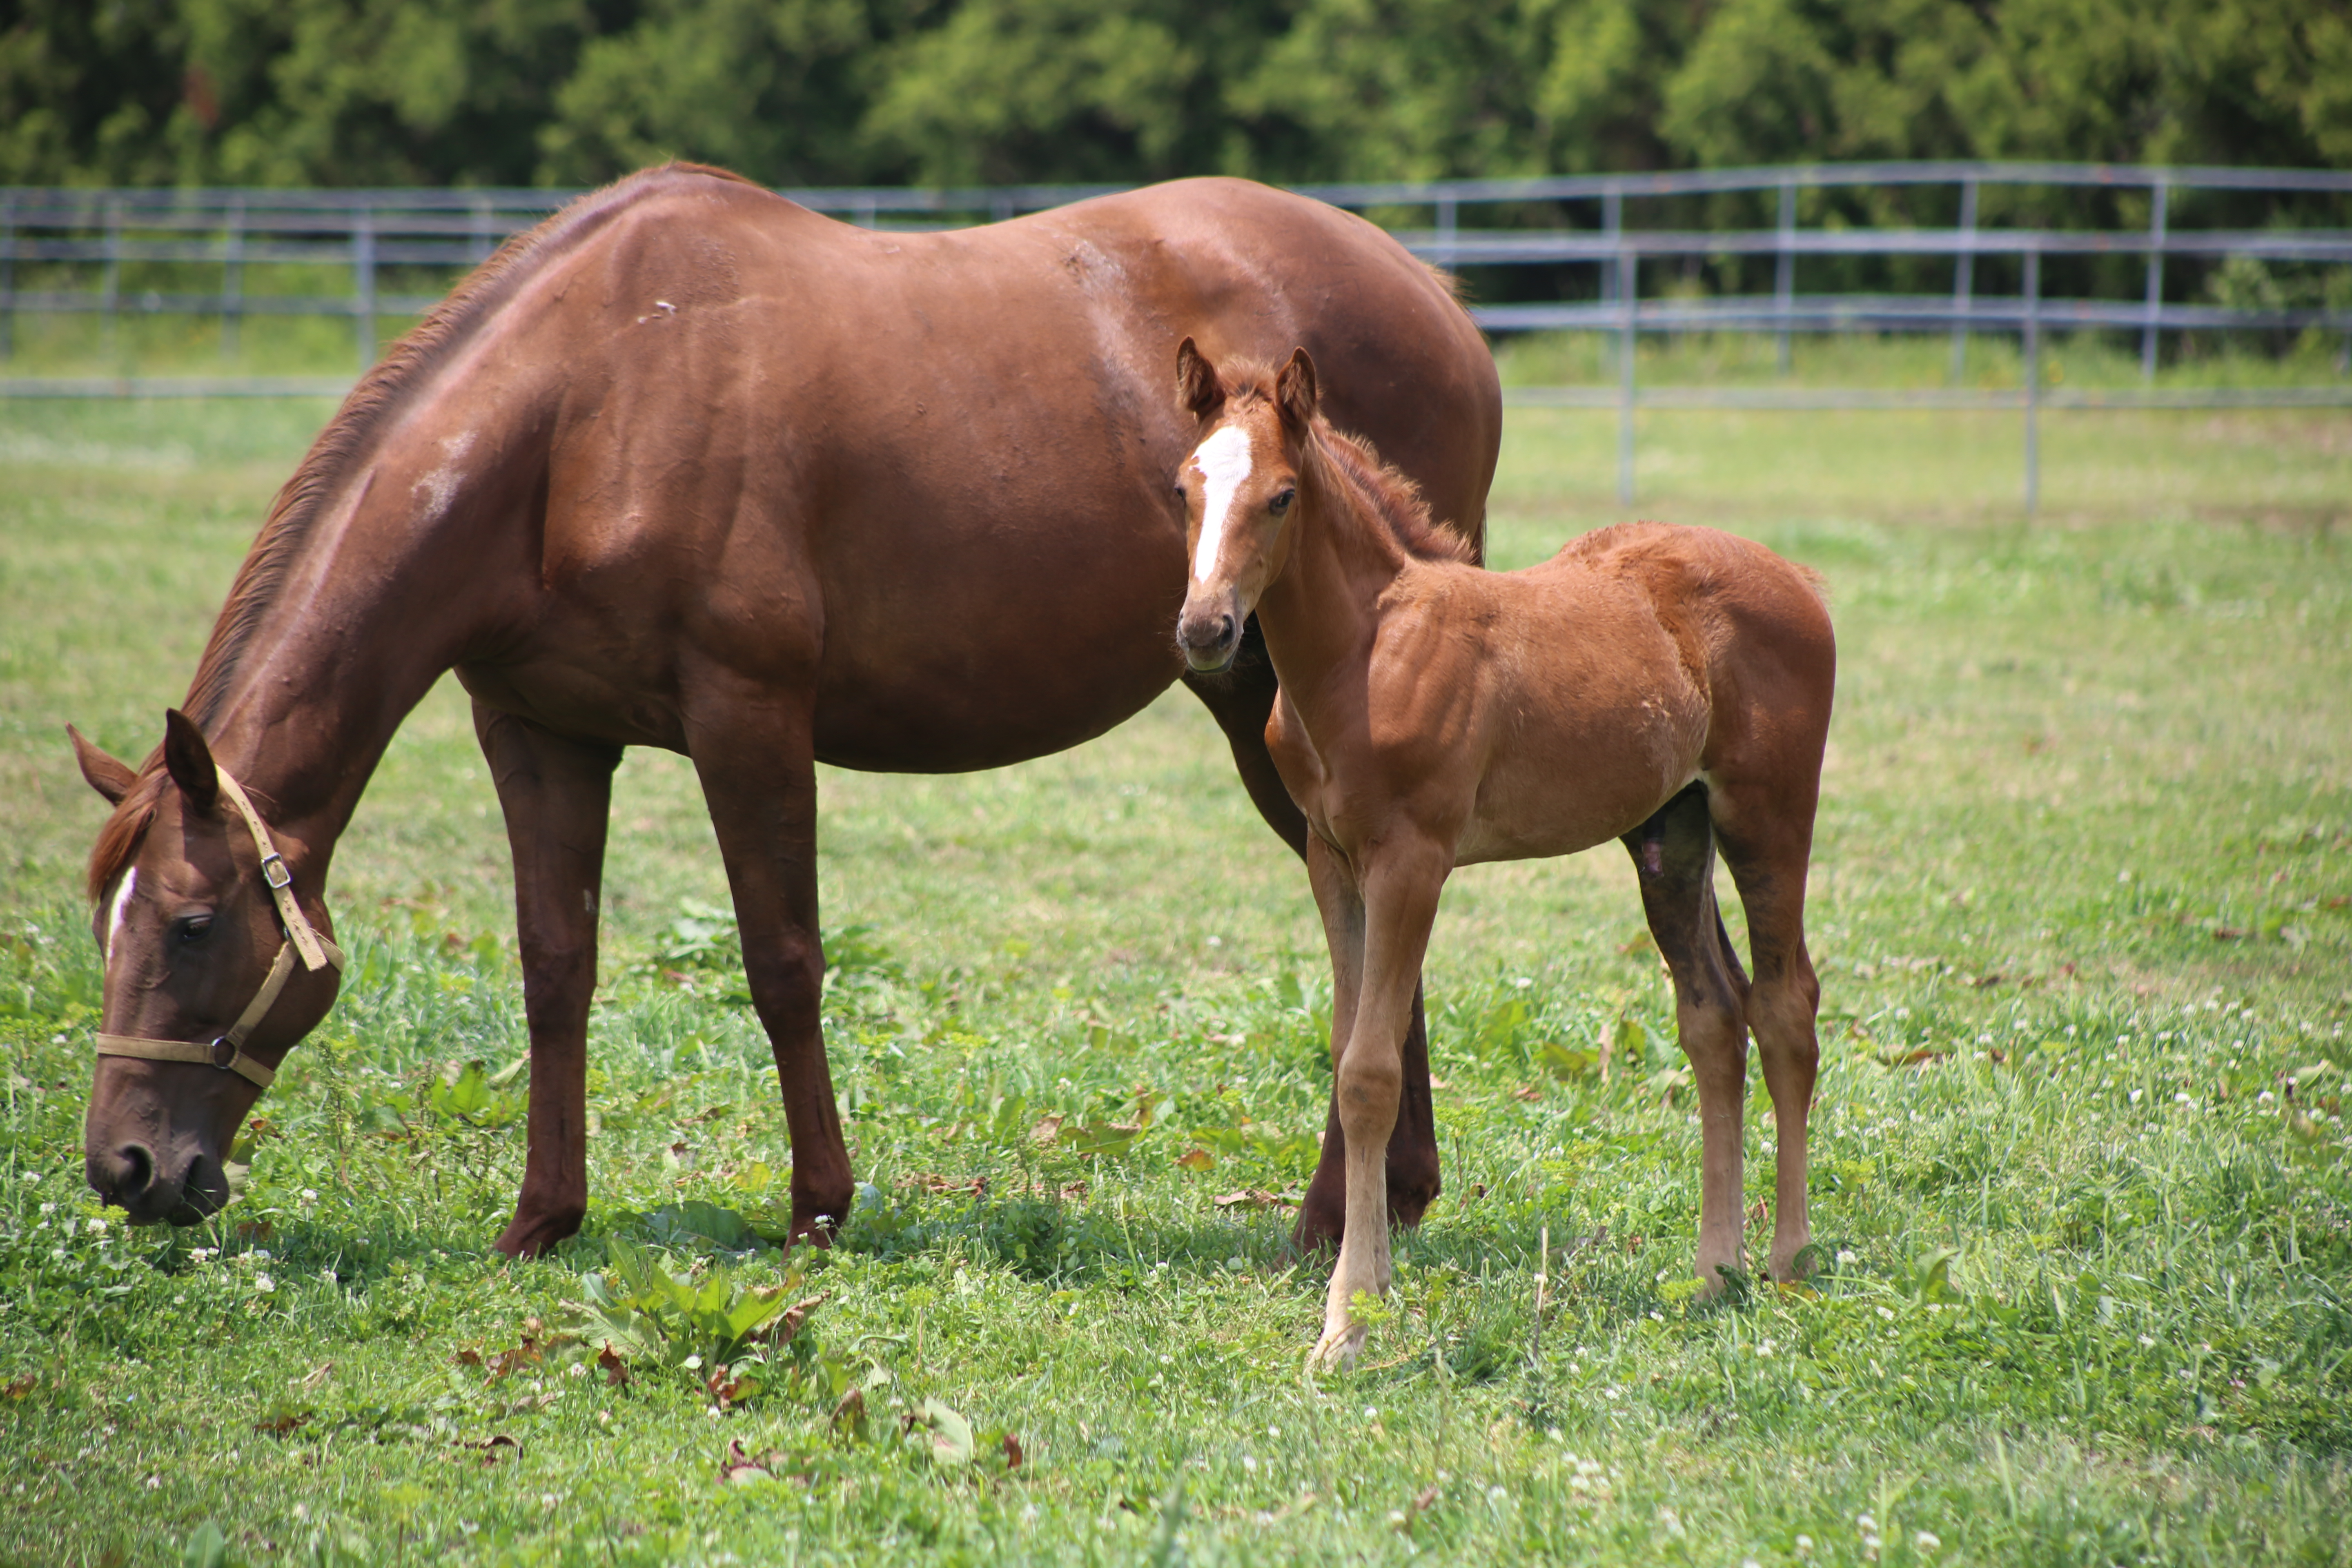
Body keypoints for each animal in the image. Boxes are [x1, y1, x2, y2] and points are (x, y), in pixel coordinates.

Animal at [78, 165, 1505, 1260]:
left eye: (195, 923)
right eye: (106, 920)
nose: (127, 1169)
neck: (583, 412)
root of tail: (1437, 300)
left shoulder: (747, 716)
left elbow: (781, 962)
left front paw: (818, 1208)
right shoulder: (539, 735)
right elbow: (556, 966)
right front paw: (543, 1218)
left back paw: (1334, 1216)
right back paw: (1389, 1196)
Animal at [1176, 341, 1834, 1363]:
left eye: (1281, 497)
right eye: (1183, 489)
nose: (1205, 630)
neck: (1365, 647)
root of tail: (1801, 578)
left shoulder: (1413, 860)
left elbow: (1371, 1074)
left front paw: (1346, 1327)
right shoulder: (1333, 860)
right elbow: (1348, 1052)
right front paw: (1374, 1293)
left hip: (1768, 815)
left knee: (1786, 1006)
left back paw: (1787, 1260)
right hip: (1670, 832)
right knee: (1713, 1018)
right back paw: (1712, 1272)